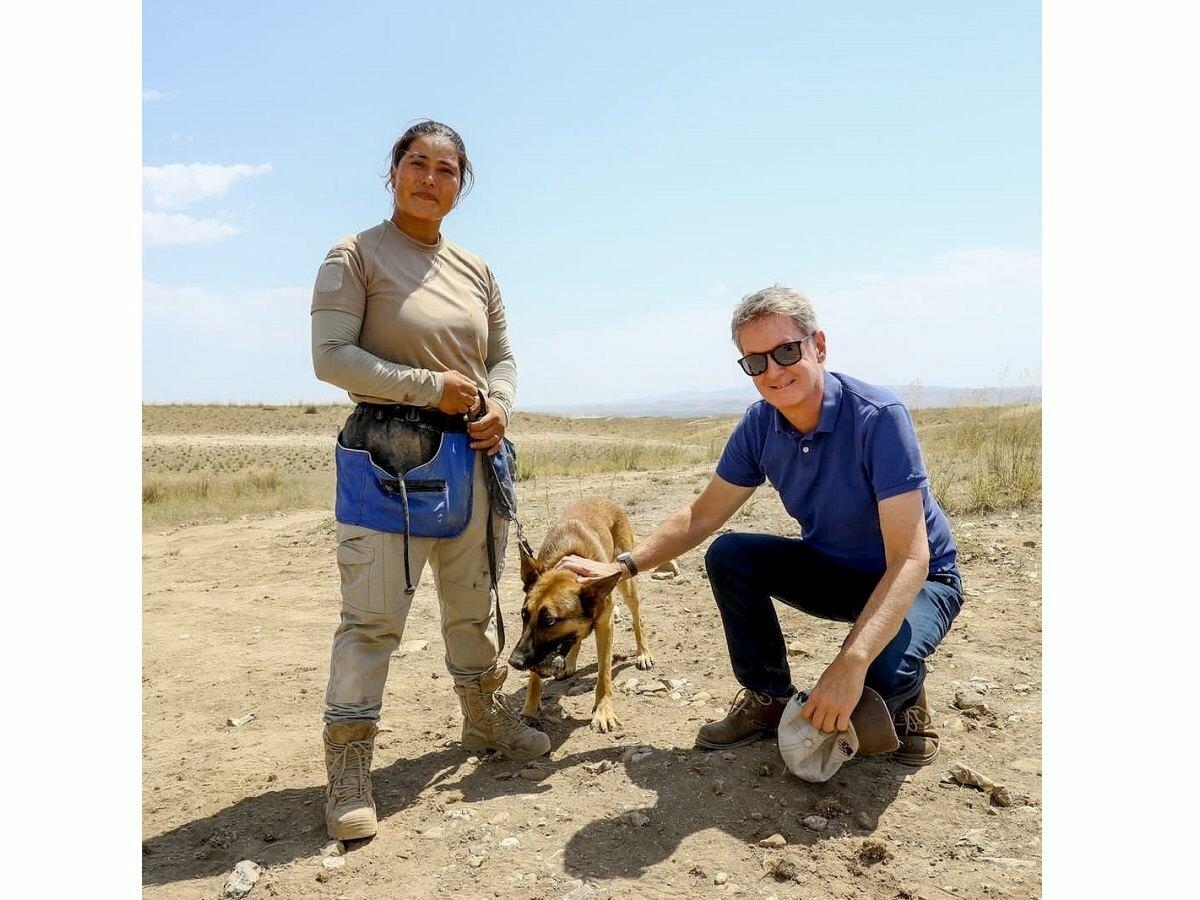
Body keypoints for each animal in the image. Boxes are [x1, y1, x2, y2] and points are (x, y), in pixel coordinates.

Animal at [508, 496, 657, 734]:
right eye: (524, 615)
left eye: (549, 621)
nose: (514, 662)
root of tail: (602, 498)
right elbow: (534, 680)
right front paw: (529, 711)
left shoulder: (605, 626)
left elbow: (604, 675)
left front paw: (603, 711)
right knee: (575, 640)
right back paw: (569, 662)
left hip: (626, 583)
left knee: (637, 619)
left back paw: (643, 653)